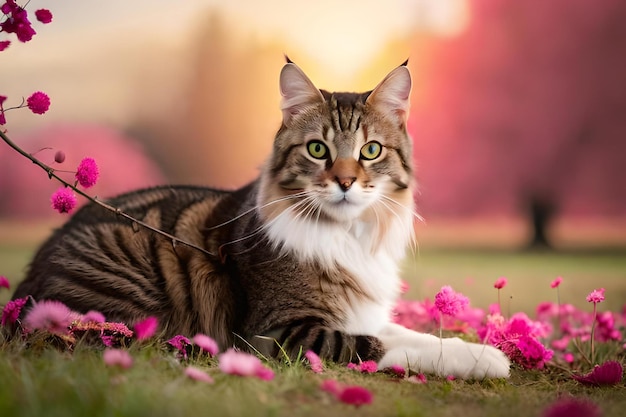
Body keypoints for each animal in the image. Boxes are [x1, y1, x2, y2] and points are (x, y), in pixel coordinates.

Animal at [12, 61, 510, 376]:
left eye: (371, 151)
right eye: (317, 149)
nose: (346, 181)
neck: (347, 236)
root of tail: (21, 295)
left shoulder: (357, 312)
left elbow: (414, 333)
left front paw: (481, 353)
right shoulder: (279, 333)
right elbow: (383, 345)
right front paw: (485, 362)